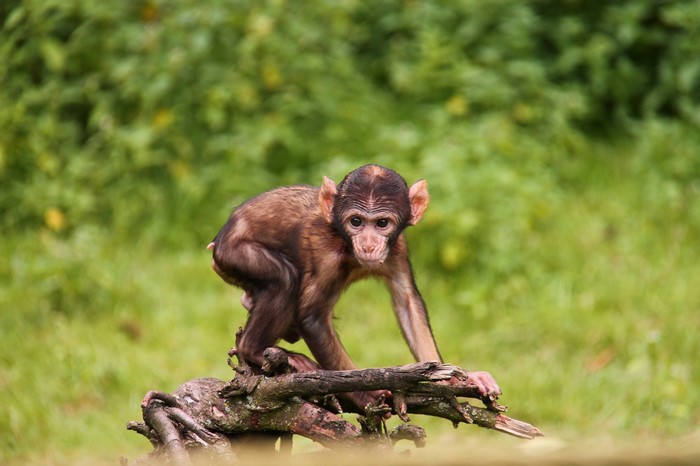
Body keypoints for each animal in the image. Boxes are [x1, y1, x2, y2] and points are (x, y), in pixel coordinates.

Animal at [209, 164, 500, 409]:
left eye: (382, 223)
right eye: (356, 221)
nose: (369, 244)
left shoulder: (398, 247)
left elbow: (408, 303)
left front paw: (454, 378)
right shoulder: (325, 253)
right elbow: (312, 318)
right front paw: (364, 393)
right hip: (234, 253)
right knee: (283, 279)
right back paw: (254, 349)